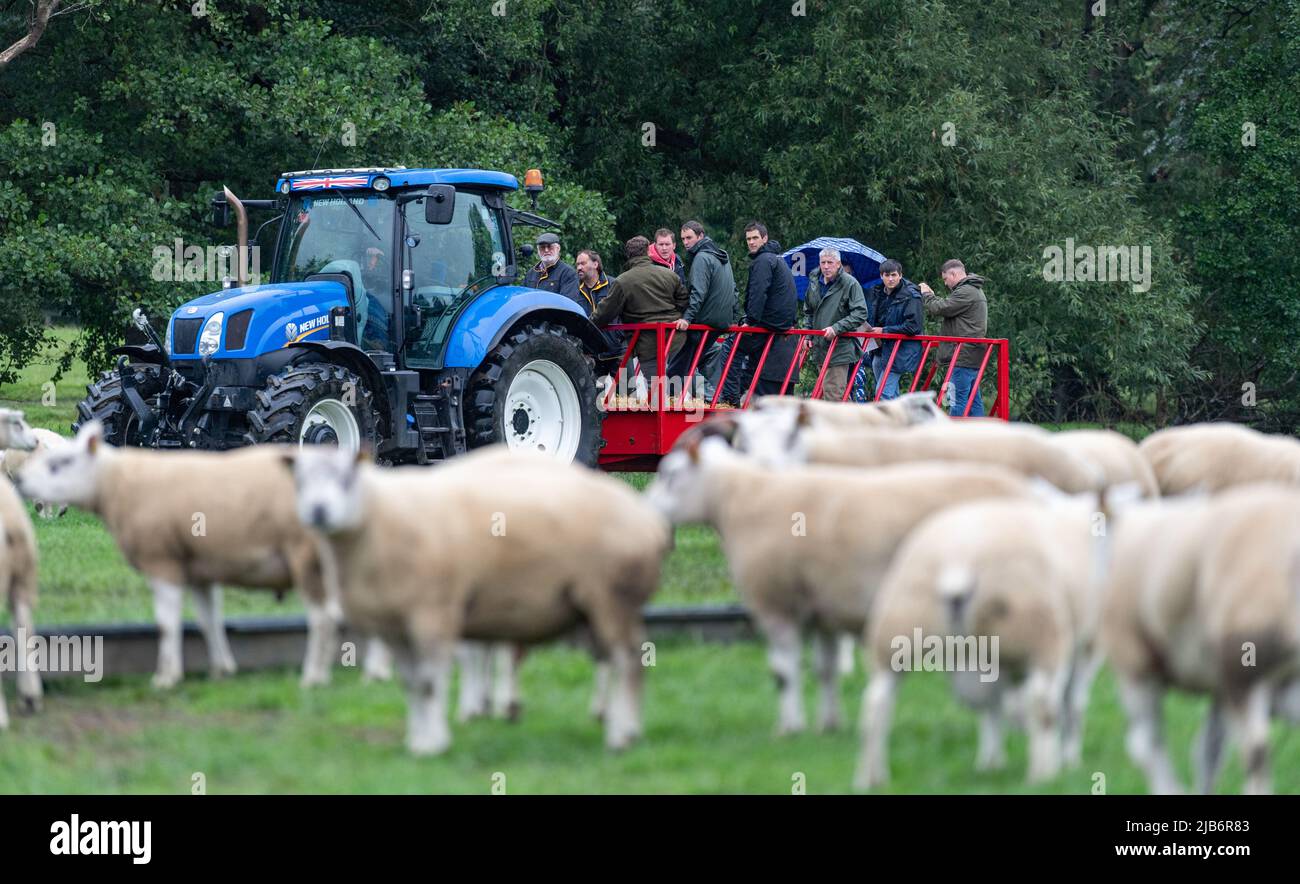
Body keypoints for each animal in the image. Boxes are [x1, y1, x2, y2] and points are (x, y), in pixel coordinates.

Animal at [13, 423, 335, 691]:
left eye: (61, 463)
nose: (20, 481)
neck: (120, 482)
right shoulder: (200, 571)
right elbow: (209, 619)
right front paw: (221, 670)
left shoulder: (163, 563)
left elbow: (166, 624)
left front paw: (166, 678)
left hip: (306, 560)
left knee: (321, 618)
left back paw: (313, 677)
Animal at [286, 444, 670, 754]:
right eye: (300, 482)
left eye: (346, 479)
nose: (317, 512)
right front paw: (467, 714)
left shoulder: (443, 607)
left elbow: (436, 675)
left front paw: (445, 731)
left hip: (601, 598)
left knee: (621, 657)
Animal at [644, 434, 1029, 733]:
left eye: (672, 473)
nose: (645, 508)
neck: (741, 497)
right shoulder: (823, 608)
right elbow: (825, 670)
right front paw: (828, 724)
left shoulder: (776, 601)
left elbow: (783, 671)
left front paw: (790, 726)